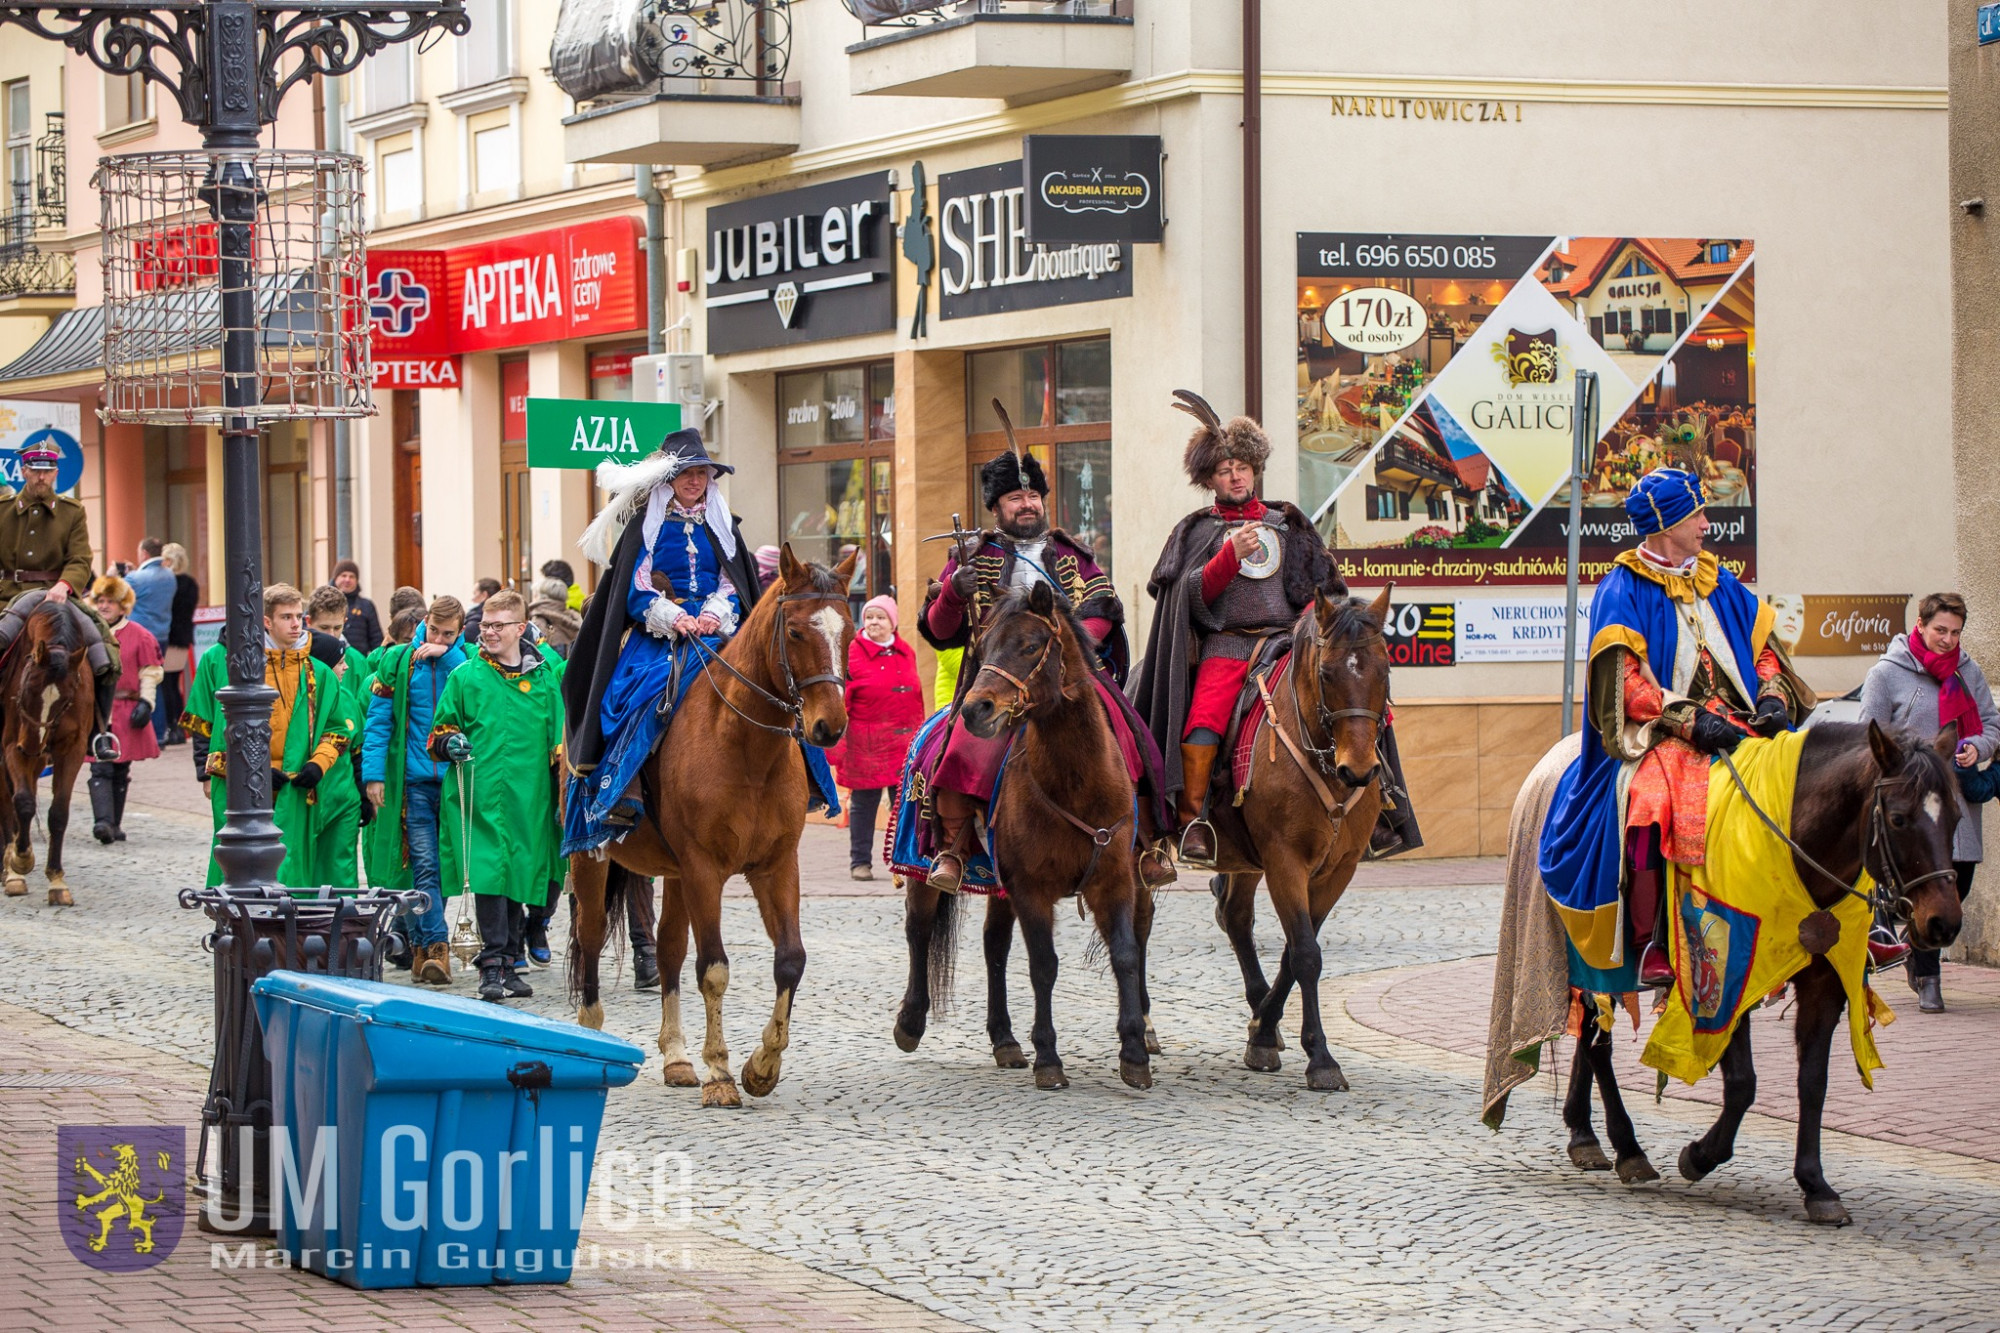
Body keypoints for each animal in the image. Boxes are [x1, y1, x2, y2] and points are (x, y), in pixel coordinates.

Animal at [0, 600, 94, 904]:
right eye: (27, 688)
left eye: (65, 700)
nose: (30, 746)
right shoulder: (10, 748)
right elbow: (23, 802)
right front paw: (20, 860)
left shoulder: (72, 751)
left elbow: (58, 813)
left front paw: (57, 880)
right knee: (7, 803)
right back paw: (11, 870)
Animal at [568, 544, 856, 1104]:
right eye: (794, 632)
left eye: (850, 631)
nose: (829, 728)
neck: (746, 748)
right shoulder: (705, 868)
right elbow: (715, 969)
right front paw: (721, 1073)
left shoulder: (775, 866)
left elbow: (790, 959)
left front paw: (762, 1066)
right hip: (590, 858)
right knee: (589, 937)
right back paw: (590, 1036)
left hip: (676, 874)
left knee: (668, 950)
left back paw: (677, 1057)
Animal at [896, 580, 1160, 1088]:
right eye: (983, 648)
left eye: (1031, 646)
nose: (976, 709)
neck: (1076, 784)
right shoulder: (1032, 889)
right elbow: (1044, 966)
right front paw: (1049, 1059)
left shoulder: (1114, 881)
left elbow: (1125, 954)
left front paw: (1135, 1053)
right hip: (923, 869)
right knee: (918, 929)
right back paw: (911, 1022)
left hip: (1001, 887)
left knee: (993, 945)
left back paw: (1004, 1039)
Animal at [1200, 588, 1392, 1088]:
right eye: (1327, 674)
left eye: (1385, 670)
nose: (1358, 770)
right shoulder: (1285, 860)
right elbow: (1306, 953)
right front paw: (1321, 1058)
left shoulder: (1336, 870)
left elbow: (1293, 951)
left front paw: (1264, 1029)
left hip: (1244, 859)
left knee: (1235, 917)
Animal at [1536, 720, 1960, 1216]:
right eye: (1898, 819)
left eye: (1956, 816)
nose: (1944, 924)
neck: (1791, 843)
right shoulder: (1725, 973)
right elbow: (1742, 1084)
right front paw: (1700, 1155)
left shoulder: (1826, 980)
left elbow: (1813, 1082)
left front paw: (1816, 1185)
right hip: (1592, 951)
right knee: (1597, 1045)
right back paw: (1628, 1148)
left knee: (1589, 1037)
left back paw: (1583, 1134)